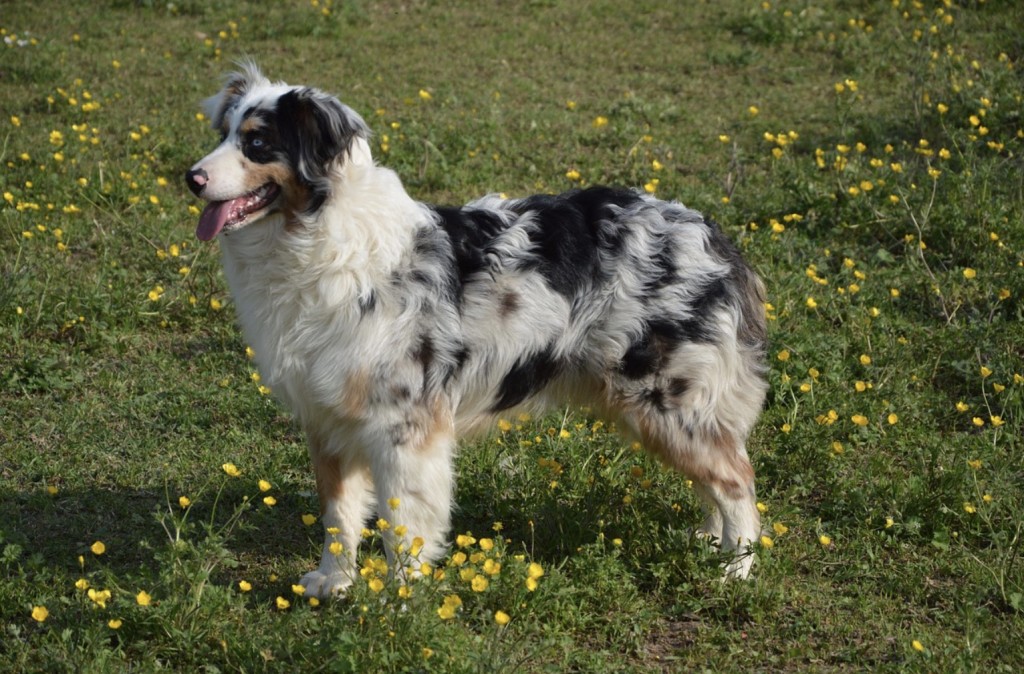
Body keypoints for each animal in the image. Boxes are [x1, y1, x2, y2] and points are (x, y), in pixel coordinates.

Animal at [186, 62, 770, 594]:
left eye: (258, 142)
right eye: (223, 134)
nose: (191, 178)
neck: (320, 239)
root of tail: (710, 232)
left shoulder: (404, 428)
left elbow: (402, 528)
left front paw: (397, 605)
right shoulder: (326, 417)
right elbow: (339, 517)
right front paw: (334, 582)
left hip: (670, 402)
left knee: (738, 479)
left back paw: (735, 568)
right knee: (717, 478)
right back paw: (708, 539)